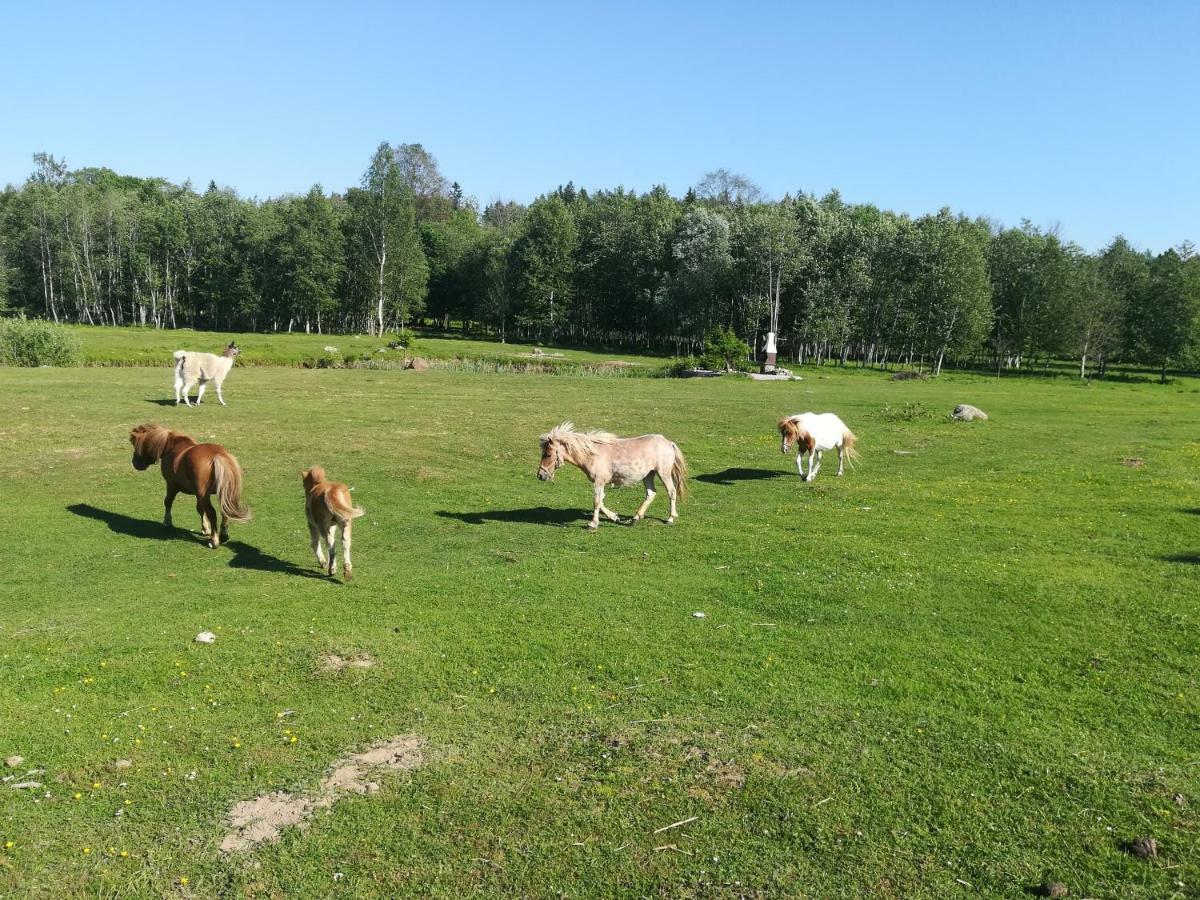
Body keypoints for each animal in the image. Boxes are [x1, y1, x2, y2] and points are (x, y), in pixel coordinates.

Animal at [540, 422, 691, 528]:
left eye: (548, 454)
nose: (540, 475)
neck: (593, 455)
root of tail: (669, 443)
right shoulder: (600, 483)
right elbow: (601, 501)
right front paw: (615, 517)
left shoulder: (599, 482)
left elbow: (596, 502)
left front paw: (592, 524)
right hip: (648, 475)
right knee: (651, 493)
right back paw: (635, 518)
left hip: (663, 473)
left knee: (671, 491)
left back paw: (670, 518)